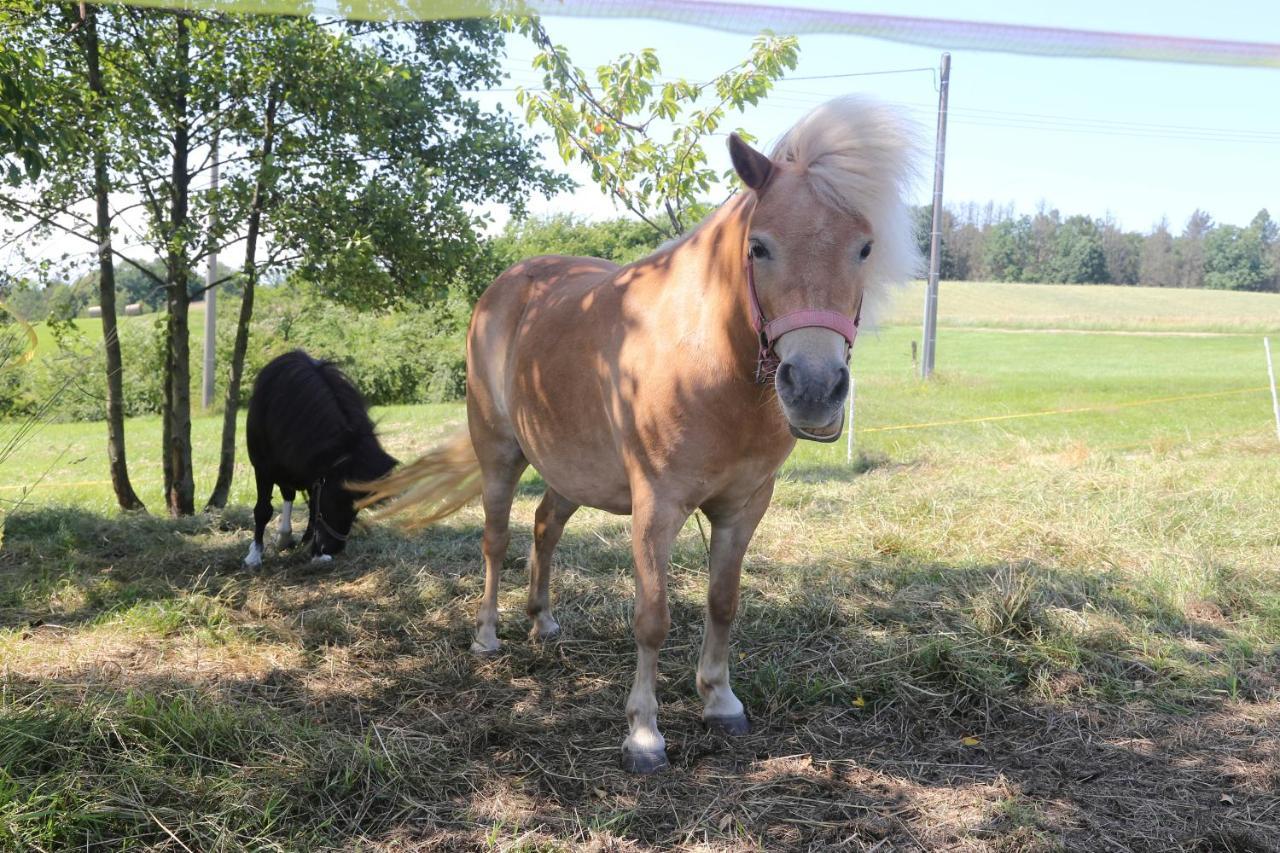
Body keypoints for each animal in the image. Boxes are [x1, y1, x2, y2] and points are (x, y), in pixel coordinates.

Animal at [243, 348, 394, 568]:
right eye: (338, 498)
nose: (335, 548)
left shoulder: (313, 472)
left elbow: (314, 510)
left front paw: (314, 551)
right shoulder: (263, 467)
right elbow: (263, 509)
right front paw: (254, 555)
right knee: (287, 495)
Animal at [360, 94, 921, 768]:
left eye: (864, 248)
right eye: (759, 247)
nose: (814, 388)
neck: (707, 360)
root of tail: (511, 281)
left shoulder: (744, 505)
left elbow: (723, 602)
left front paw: (720, 701)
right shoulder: (657, 506)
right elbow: (652, 616)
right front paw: (644, 733)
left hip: (570, 468)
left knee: (545, 527)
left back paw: (543, 621)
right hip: (499, 452)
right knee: (496, 541)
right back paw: (488, 635)